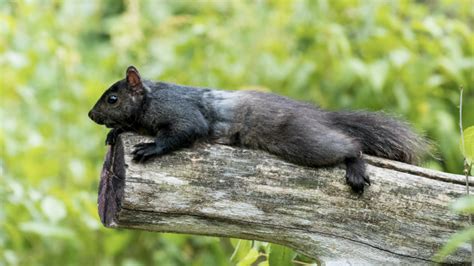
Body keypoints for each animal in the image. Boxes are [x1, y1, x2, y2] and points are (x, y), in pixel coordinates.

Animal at [89, 65, 430, 192]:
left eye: (112, 98)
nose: (91, 115)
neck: (150, 99)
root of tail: (321, 117)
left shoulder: (182, 111)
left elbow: (183, 132)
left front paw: (150, 148)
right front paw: (115, 132)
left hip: (303, 141)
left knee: (350, 145)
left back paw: (355, 167)